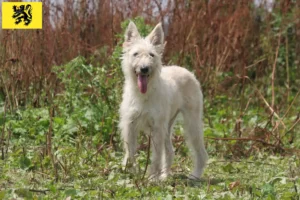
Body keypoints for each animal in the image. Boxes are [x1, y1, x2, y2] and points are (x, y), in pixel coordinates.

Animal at [118, 21, 207, 180]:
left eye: (151, 55)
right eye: (135, 54)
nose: (144, 69)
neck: (144, 94)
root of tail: (187, 71)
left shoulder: (157, 129)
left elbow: (156, 156)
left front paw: (152, 178)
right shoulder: (130, 125)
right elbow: (130, 151)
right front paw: (130, 171)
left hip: (192, 124)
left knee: (201, 153)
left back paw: (195, 175)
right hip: (168, 126)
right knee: (170, 151)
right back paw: (165, 176)